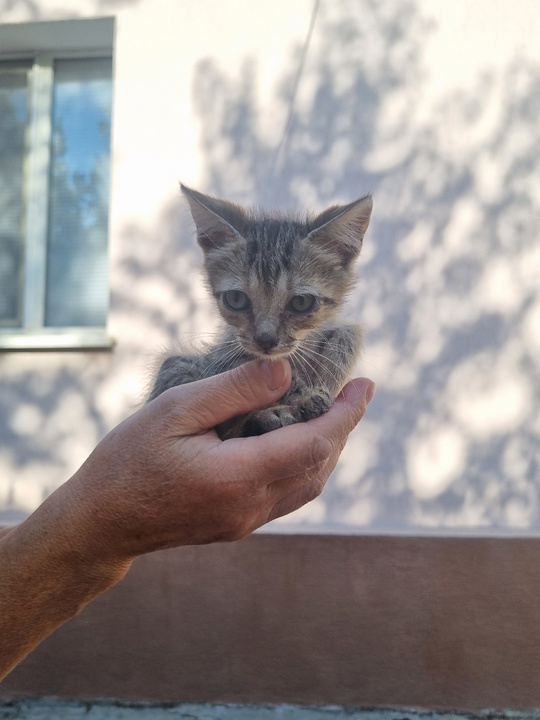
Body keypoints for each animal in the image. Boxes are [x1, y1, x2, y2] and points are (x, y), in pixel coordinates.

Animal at [150, 186, 374, 438]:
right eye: (236, 299)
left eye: (302, 302)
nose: (265, 340)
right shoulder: (215, 358)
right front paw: (299, 396)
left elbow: (350, 331)